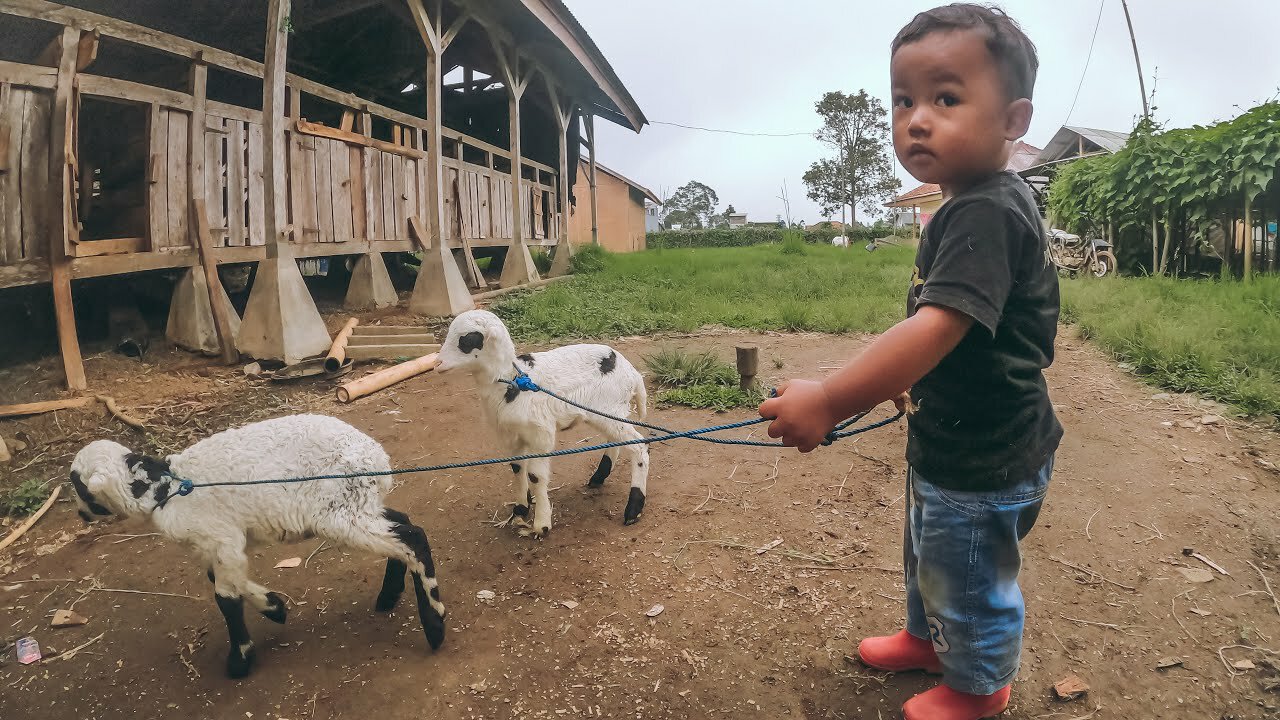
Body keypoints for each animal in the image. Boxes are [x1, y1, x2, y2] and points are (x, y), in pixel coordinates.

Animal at [72, 412, 450, 676]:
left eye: (77, 485)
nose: (80, 515)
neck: (165, 490)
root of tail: (378, 458)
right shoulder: (216, 545)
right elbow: (224, 580)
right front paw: (274, 606)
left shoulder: (221, 538)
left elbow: (225, 597)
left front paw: (240, 659)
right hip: (359, 504)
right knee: (402, 525)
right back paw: (388, 596)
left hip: (340, 511)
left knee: (412, 537)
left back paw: (434, 624)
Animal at [440, 304, 655, 535]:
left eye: (467, 339)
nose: (438, 363)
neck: (512, 381)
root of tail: (631, 372)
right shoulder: (510, 434)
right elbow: (517, 467)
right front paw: (520, 509)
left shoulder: (540, 434)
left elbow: (535, 475)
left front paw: (541, 525)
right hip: (607, 412)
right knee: (617, 439)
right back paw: (598, 477)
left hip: (609, 408)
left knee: (639, 445)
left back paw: (633, 510)